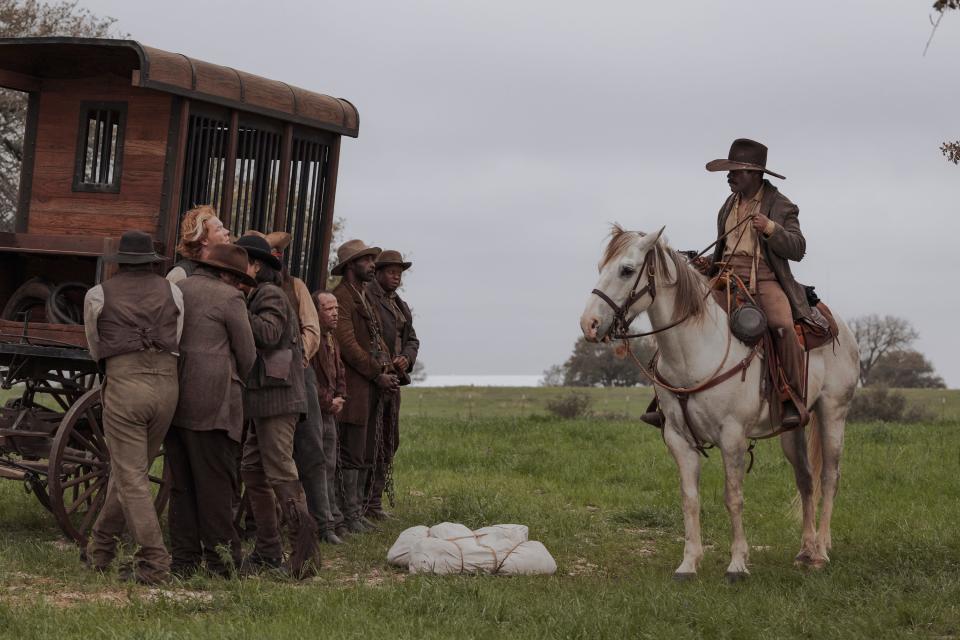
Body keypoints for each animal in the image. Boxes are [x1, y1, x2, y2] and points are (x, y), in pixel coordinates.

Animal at [580, 228, 860, 584]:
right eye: (601, 266)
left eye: (627, 270)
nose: (589, 324)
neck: (694, 351)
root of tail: (840, 326)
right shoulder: (678, 439)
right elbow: (689, 499)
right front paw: (688, 563)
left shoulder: (732, 436)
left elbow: (733, 498)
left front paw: (737, 564)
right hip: (793, 427)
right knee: (806, 480)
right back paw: (805, 551)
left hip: (833, 413)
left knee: (829, 477)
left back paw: (822, 551)